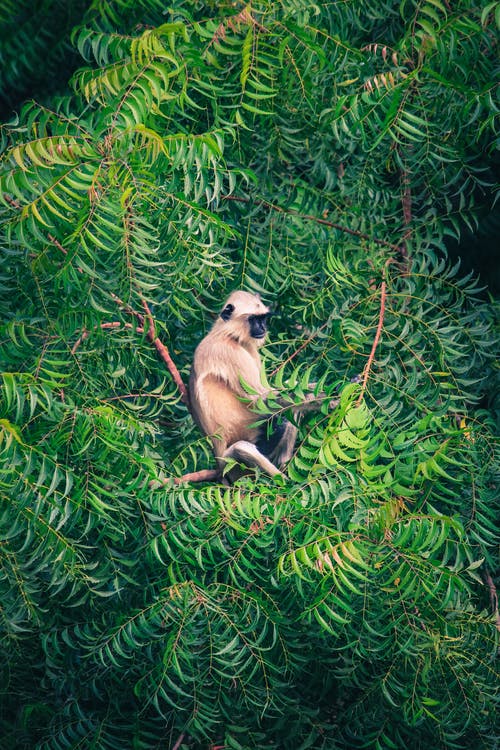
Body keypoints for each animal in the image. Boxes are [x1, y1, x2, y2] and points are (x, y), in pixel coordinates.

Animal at [189, 290, 322, 478]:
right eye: (253, 319)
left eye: (263, 318)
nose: (263, 328)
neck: (227, 335)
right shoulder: (228, 352)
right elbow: (262, 400)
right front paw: (331, 398)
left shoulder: (250, 348)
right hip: (232, 464)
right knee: (241, 448)